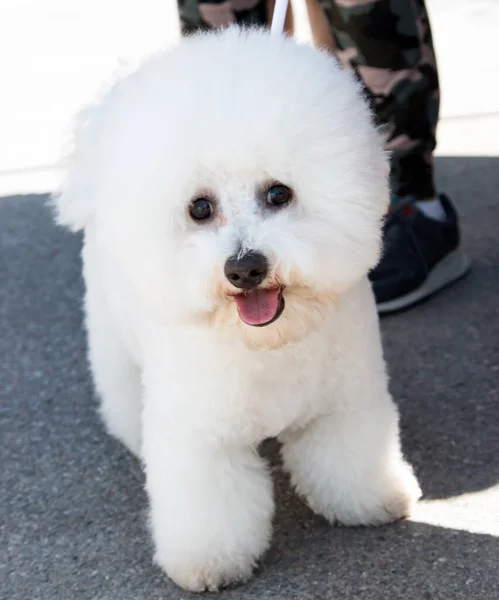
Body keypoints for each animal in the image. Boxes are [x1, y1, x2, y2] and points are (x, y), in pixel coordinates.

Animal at [53, 27, 422, 592]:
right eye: (200, 208)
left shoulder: (344, 403)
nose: (245, 268)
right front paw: (207, 564)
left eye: (279, 193)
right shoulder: (202, 440)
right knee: (121, 391)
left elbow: (348, 458)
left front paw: (372, 500)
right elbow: (210, 508)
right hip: (111, 336)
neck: (268, 343)